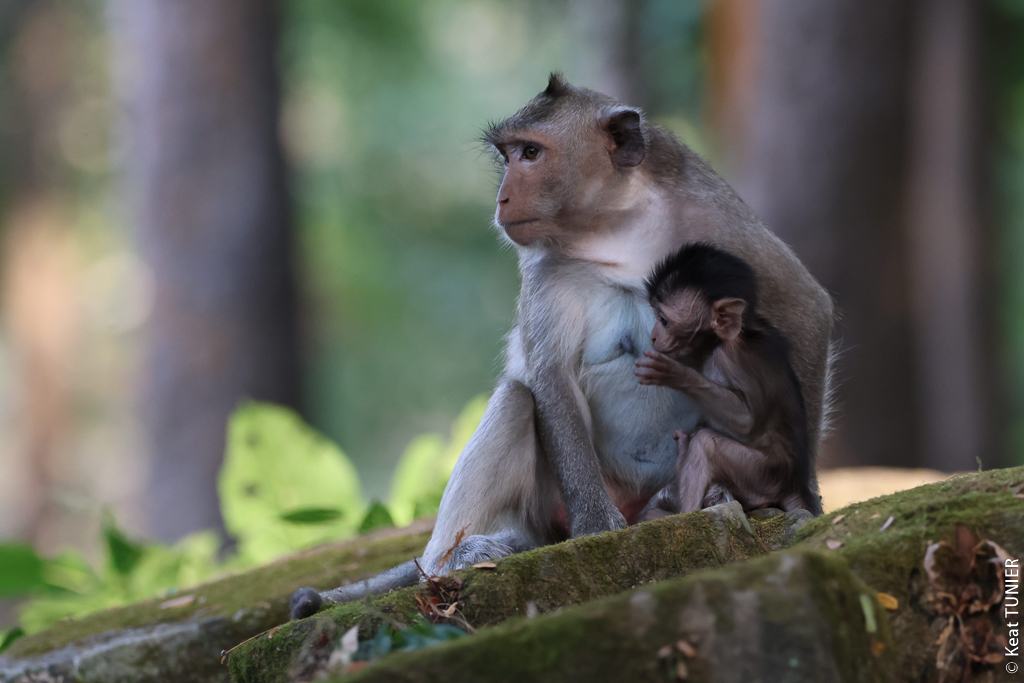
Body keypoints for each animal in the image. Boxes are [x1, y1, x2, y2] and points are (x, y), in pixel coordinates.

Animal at [634, 243, 821, 516]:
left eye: (664, 321)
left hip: (762, 476)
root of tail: (795, 485)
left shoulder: (727, 359)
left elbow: (746, 421)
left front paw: (674, 373)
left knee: (706, 443)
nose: (653, 335)